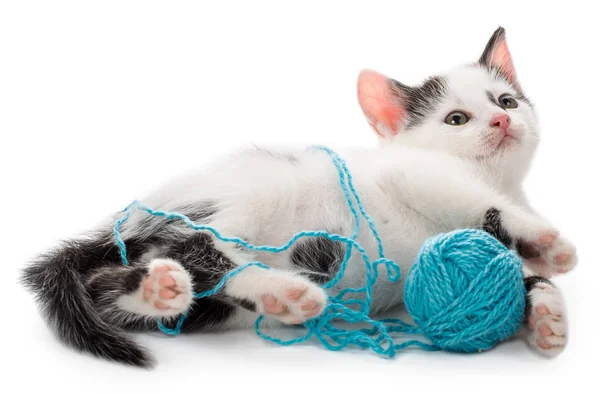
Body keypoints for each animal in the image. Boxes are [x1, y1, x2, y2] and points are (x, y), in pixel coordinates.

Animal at [22, 26, 576, 366]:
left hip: (202, 301)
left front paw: (546, 316)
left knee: (121, 288)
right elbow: (483, 207)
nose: (502, 120)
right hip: (254, 190)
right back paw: (283, 291)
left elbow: (513, 271)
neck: (494, 177)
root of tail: (129, 217)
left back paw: (166, 290)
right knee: (197, 248)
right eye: (457, 119)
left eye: (507, 101)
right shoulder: (418, 174)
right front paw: (547, 243)